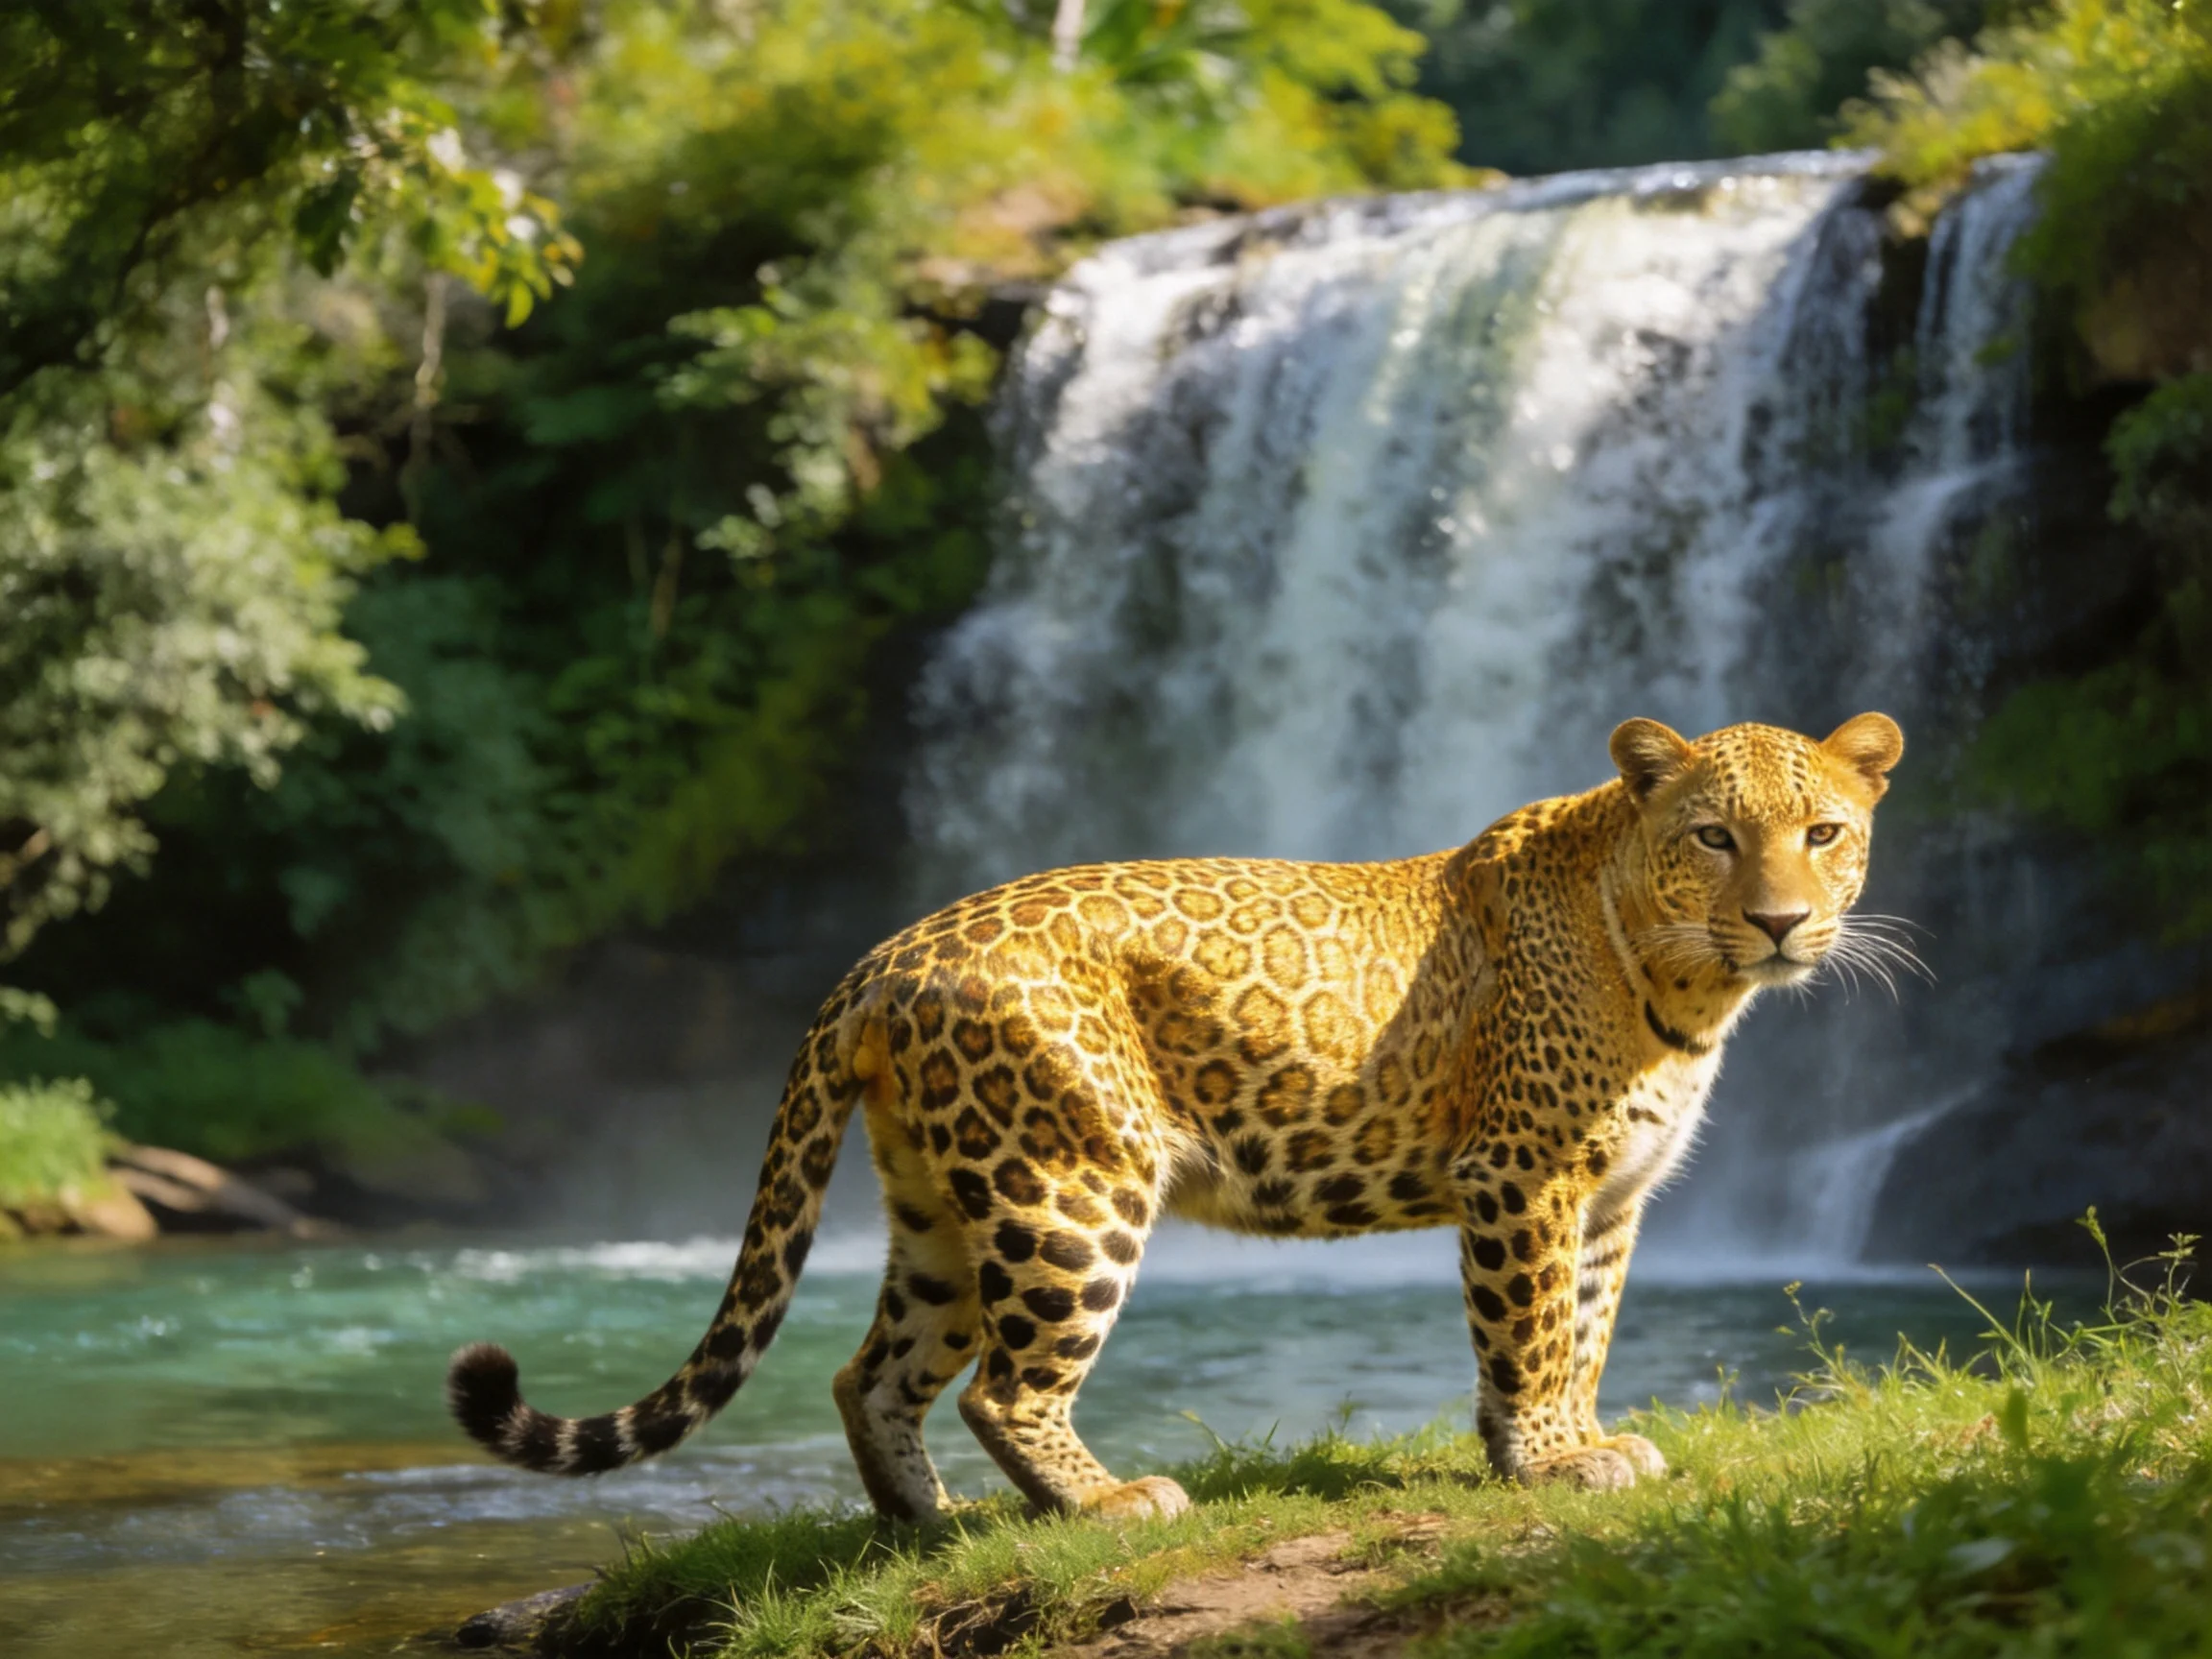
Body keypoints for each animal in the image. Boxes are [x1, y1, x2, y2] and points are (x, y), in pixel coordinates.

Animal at [448, 712, 1906, 1517]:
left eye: (1825, 833)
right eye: (1715, 837)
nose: (1783, 922)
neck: (1683, 978)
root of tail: (888, 954)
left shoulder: (1607, 1197)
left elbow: (1583, 1335)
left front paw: (1561, 1446)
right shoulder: (1525, 1177)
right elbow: (1532, 1332)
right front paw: (1553, 1462)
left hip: (940, 1206)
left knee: (873, 1374)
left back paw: (929, 1525)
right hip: (1068, 1187)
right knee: (1005, 1388)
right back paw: (1112, 1503)